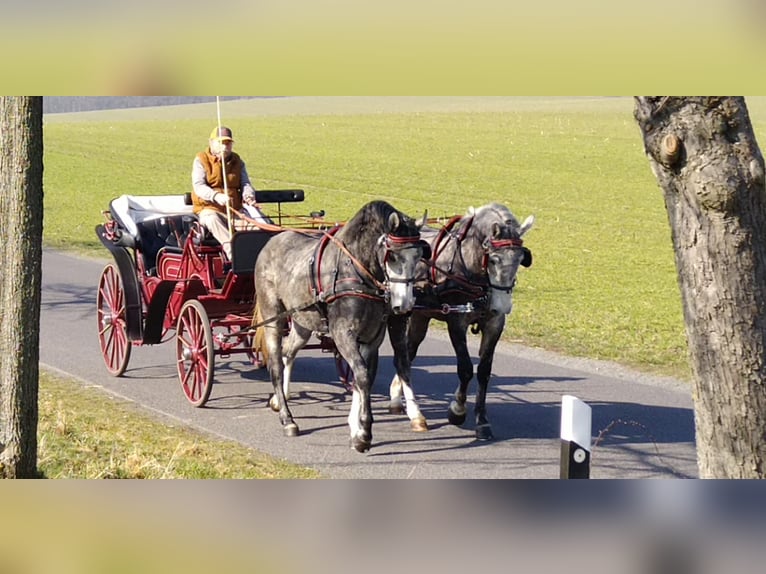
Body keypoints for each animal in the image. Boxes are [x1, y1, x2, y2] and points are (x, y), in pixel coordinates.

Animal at [255, 202, 428, 454]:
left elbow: (362, 377)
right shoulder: (342, 334)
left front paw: (355, 429)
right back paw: (288, 419)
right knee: (276, 363)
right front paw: (364, 433)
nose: (404, 305)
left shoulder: (371, 337)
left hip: (301, 322)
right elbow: (363, 375)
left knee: (289, 352)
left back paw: (280, 399)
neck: (358, 272)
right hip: (273, 318)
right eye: (393, 256)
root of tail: (272, 241)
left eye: (418, 256)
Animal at [390, 205, 536, 444]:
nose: (502, 305)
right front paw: (457, 410)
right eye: (493, 259)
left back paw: (396, 397)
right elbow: (466, 368)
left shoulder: (495, 323)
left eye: (520, 258)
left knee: (408, 353)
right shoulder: (456, 321)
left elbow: (484, 371)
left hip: (421, 317)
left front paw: (482, 421)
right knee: (405, 355)